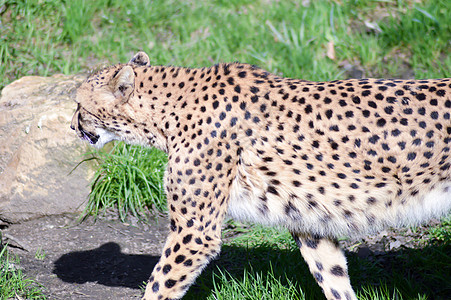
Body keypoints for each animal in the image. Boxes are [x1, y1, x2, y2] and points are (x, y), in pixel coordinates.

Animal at [71, 50, 451, 298]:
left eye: (79, 105)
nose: (72, 125)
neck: (167, 113)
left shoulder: (195, 232)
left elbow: (159, 284)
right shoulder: (311, 222)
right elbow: (334, 279)